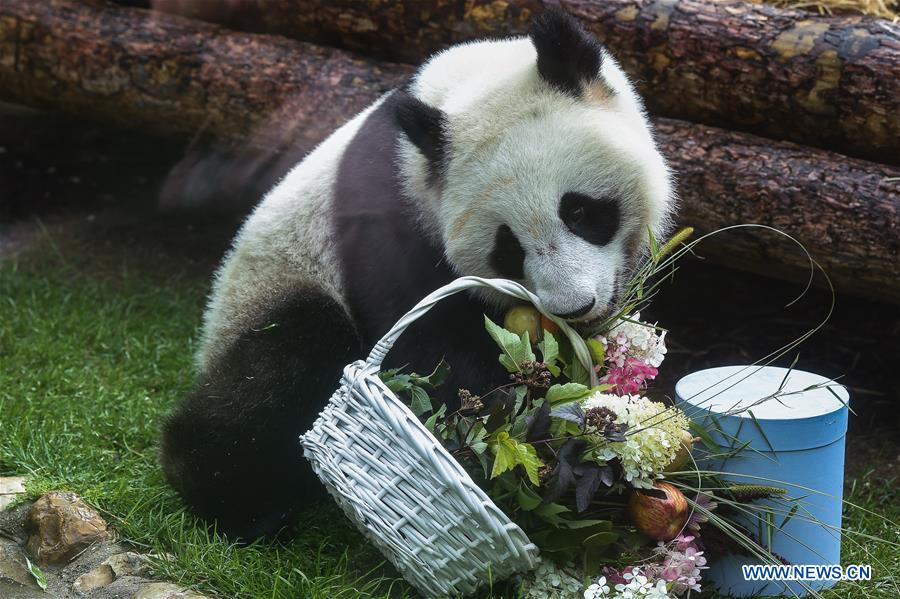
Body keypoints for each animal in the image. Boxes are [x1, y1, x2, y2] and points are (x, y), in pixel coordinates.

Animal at [161, 9, 675, 542]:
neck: (462, 89)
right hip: (272, 285)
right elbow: (425, 343)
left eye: (578, 211)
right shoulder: (387, 219)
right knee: (284, 363)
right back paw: (235, 498)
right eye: (507, 248)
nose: (573, 307)